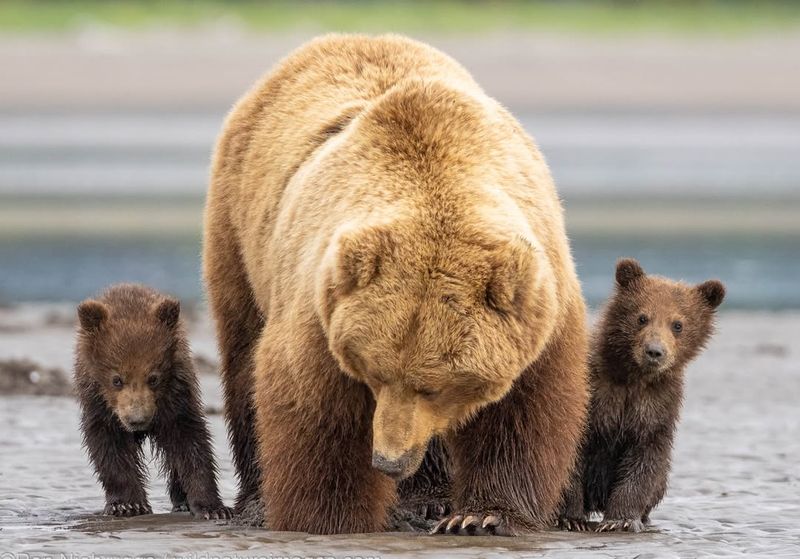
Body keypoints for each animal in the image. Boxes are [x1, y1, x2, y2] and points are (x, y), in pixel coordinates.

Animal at [202, 32, 588, 536]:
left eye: (437, 386)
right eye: (373, 371)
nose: (388, 459)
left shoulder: (543, 309)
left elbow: (522, 413)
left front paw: (482, 515)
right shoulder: (323, 305)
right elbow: (317, 412)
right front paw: (332, 517)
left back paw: (429, 498)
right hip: (241, 229)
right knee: (243, 352)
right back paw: (254, 501)